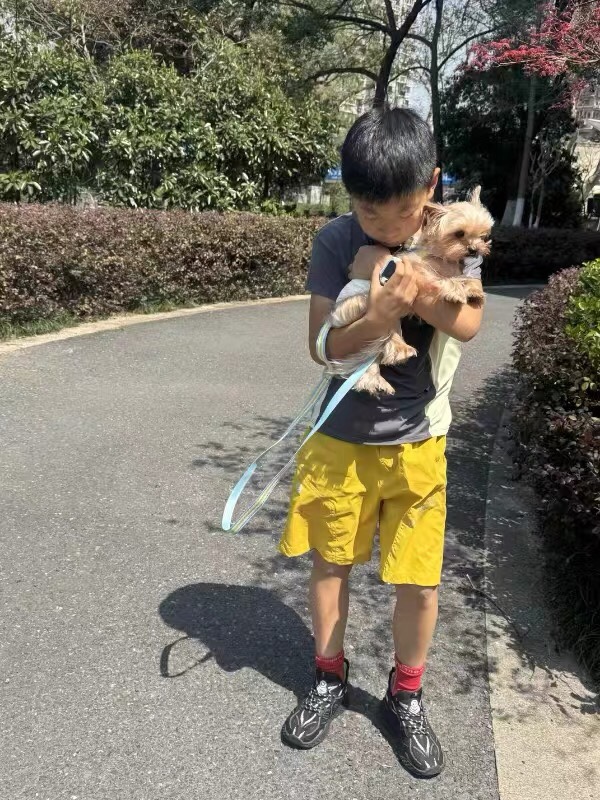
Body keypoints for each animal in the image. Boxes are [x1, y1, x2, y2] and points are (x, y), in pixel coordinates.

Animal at [326, 186, 493, 396]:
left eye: (483, 235)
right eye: (459, 233)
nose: (474, 249)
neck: (441, 257)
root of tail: (333, 317)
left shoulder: (455, 268)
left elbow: (463, 277)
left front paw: (473, 291)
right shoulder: (416, 270)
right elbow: (439, 279)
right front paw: (455, 291)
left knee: (371, 356)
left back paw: (375, 381)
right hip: (367, 308)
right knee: (384, 337)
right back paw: (400, 352)